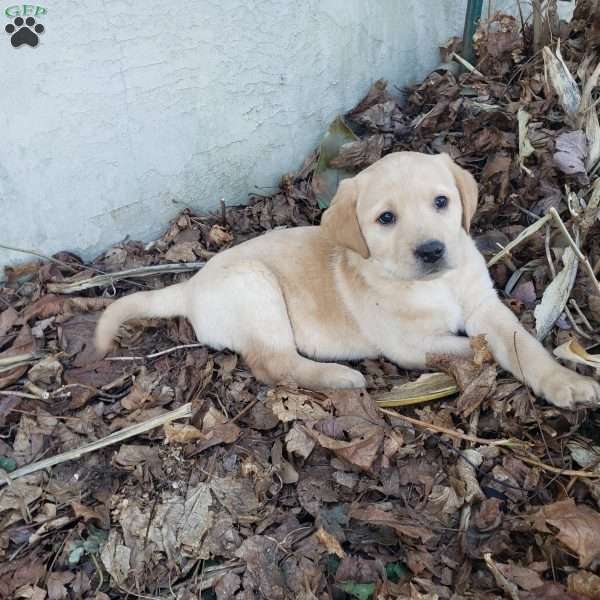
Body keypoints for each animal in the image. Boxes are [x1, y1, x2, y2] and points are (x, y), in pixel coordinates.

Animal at [96, 152, 600, 410]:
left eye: (441, 202)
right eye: (386, 219)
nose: (432, 250)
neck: (432, 285)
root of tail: (192, 285)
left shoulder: (484, 305)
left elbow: (519, 342)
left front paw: (564, 382)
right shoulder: (408, 344)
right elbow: (475, 347)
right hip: (255, 288)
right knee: (274, 364)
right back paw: (340, 376)